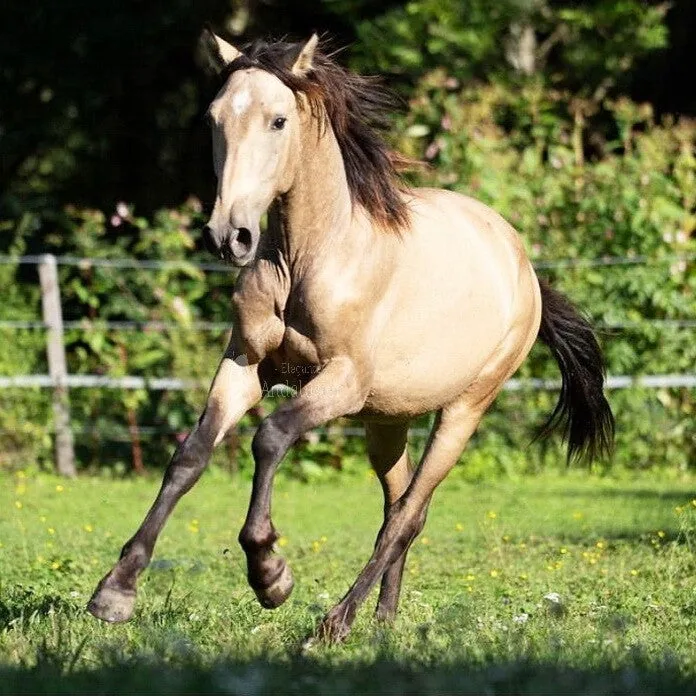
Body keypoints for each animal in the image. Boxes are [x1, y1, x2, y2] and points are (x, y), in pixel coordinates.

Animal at [87, 31, 615, 643]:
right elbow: (190, 455)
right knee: (399, 504)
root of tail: (525, 268)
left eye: (278, 121)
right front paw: (115, 591)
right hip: (388, 420)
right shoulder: (246, 364)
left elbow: (270, 437)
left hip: (463, 411)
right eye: (214, 118)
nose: (229, 235)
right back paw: (382, 619)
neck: (307, 260)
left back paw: (335, 623)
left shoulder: (341, 382)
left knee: (408, 513)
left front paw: (270, 574)